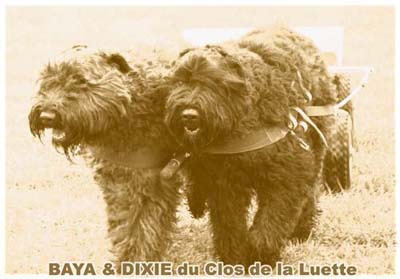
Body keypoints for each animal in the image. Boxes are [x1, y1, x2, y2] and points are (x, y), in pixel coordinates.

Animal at [30, 48, 180, 272]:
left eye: (80, 80)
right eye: (48, 79)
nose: (47, 115)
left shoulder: (151, 182)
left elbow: (142, 226)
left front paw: (137, 261)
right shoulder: (121, 182)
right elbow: (126, 224)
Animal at [164, 27, 340, 268]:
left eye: (213, 82)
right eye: (179, 81)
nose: (188, 115)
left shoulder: (288, 174)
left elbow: (272, 220)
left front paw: (260, 253)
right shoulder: (224, 182)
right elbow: (229, 222)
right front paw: (234, 256)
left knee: (311, 191)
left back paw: (302, 230)